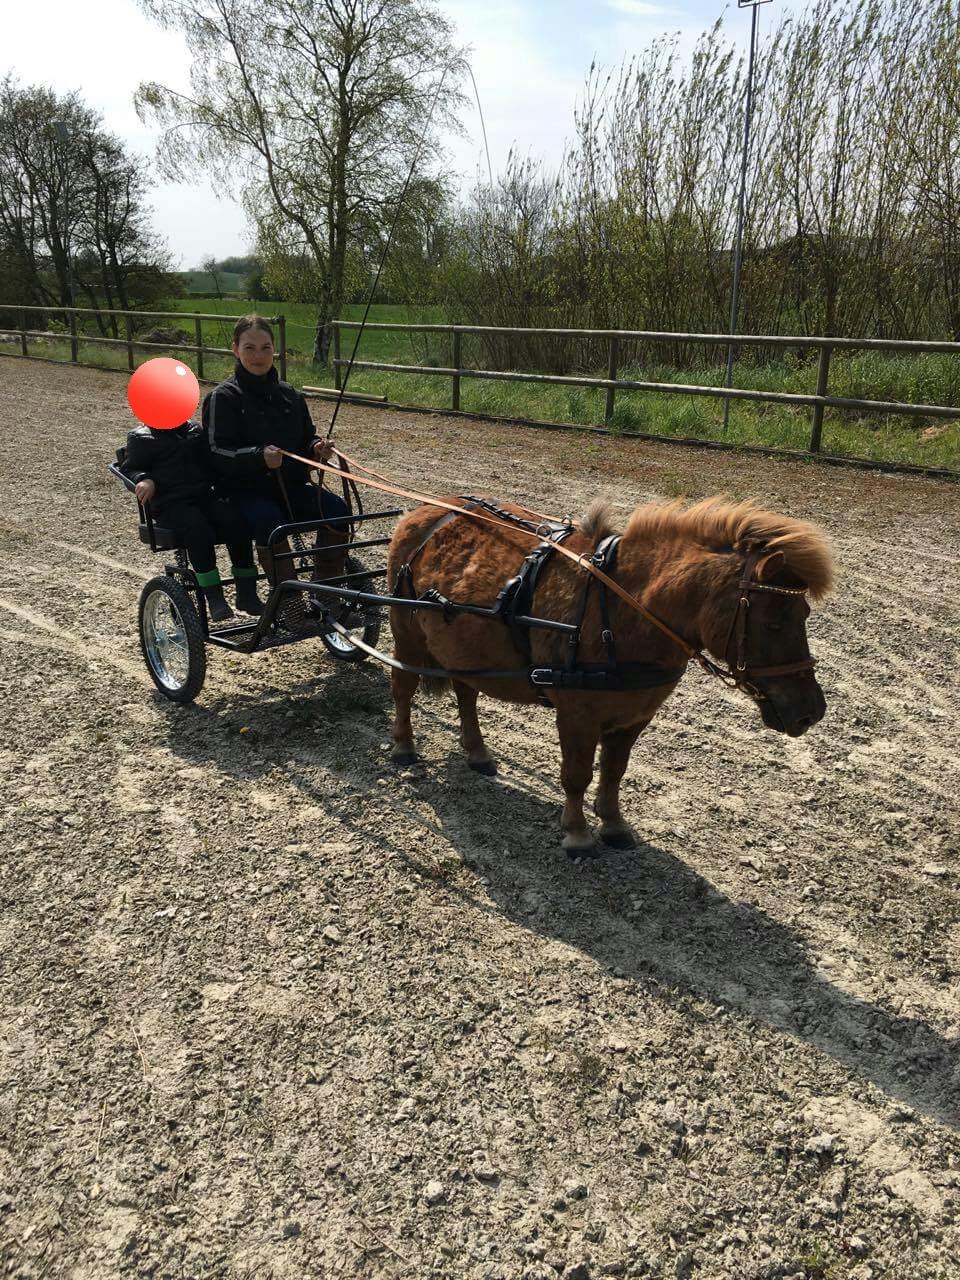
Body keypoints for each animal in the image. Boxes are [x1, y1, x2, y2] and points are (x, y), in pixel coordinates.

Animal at [386, 494, 829, 855]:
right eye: (773, 622)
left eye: (805, 614)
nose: (811, 710)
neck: (621, 610)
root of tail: (424, 513)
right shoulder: (577, 714)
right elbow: (576, 774)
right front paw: (577, 833)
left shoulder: (634, 715)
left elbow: (615, 771)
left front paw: (613, 824)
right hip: (406, 632)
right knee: (403, 688)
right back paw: (404, 746)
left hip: (462, 645)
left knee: (466, 692)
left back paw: (477, 752)